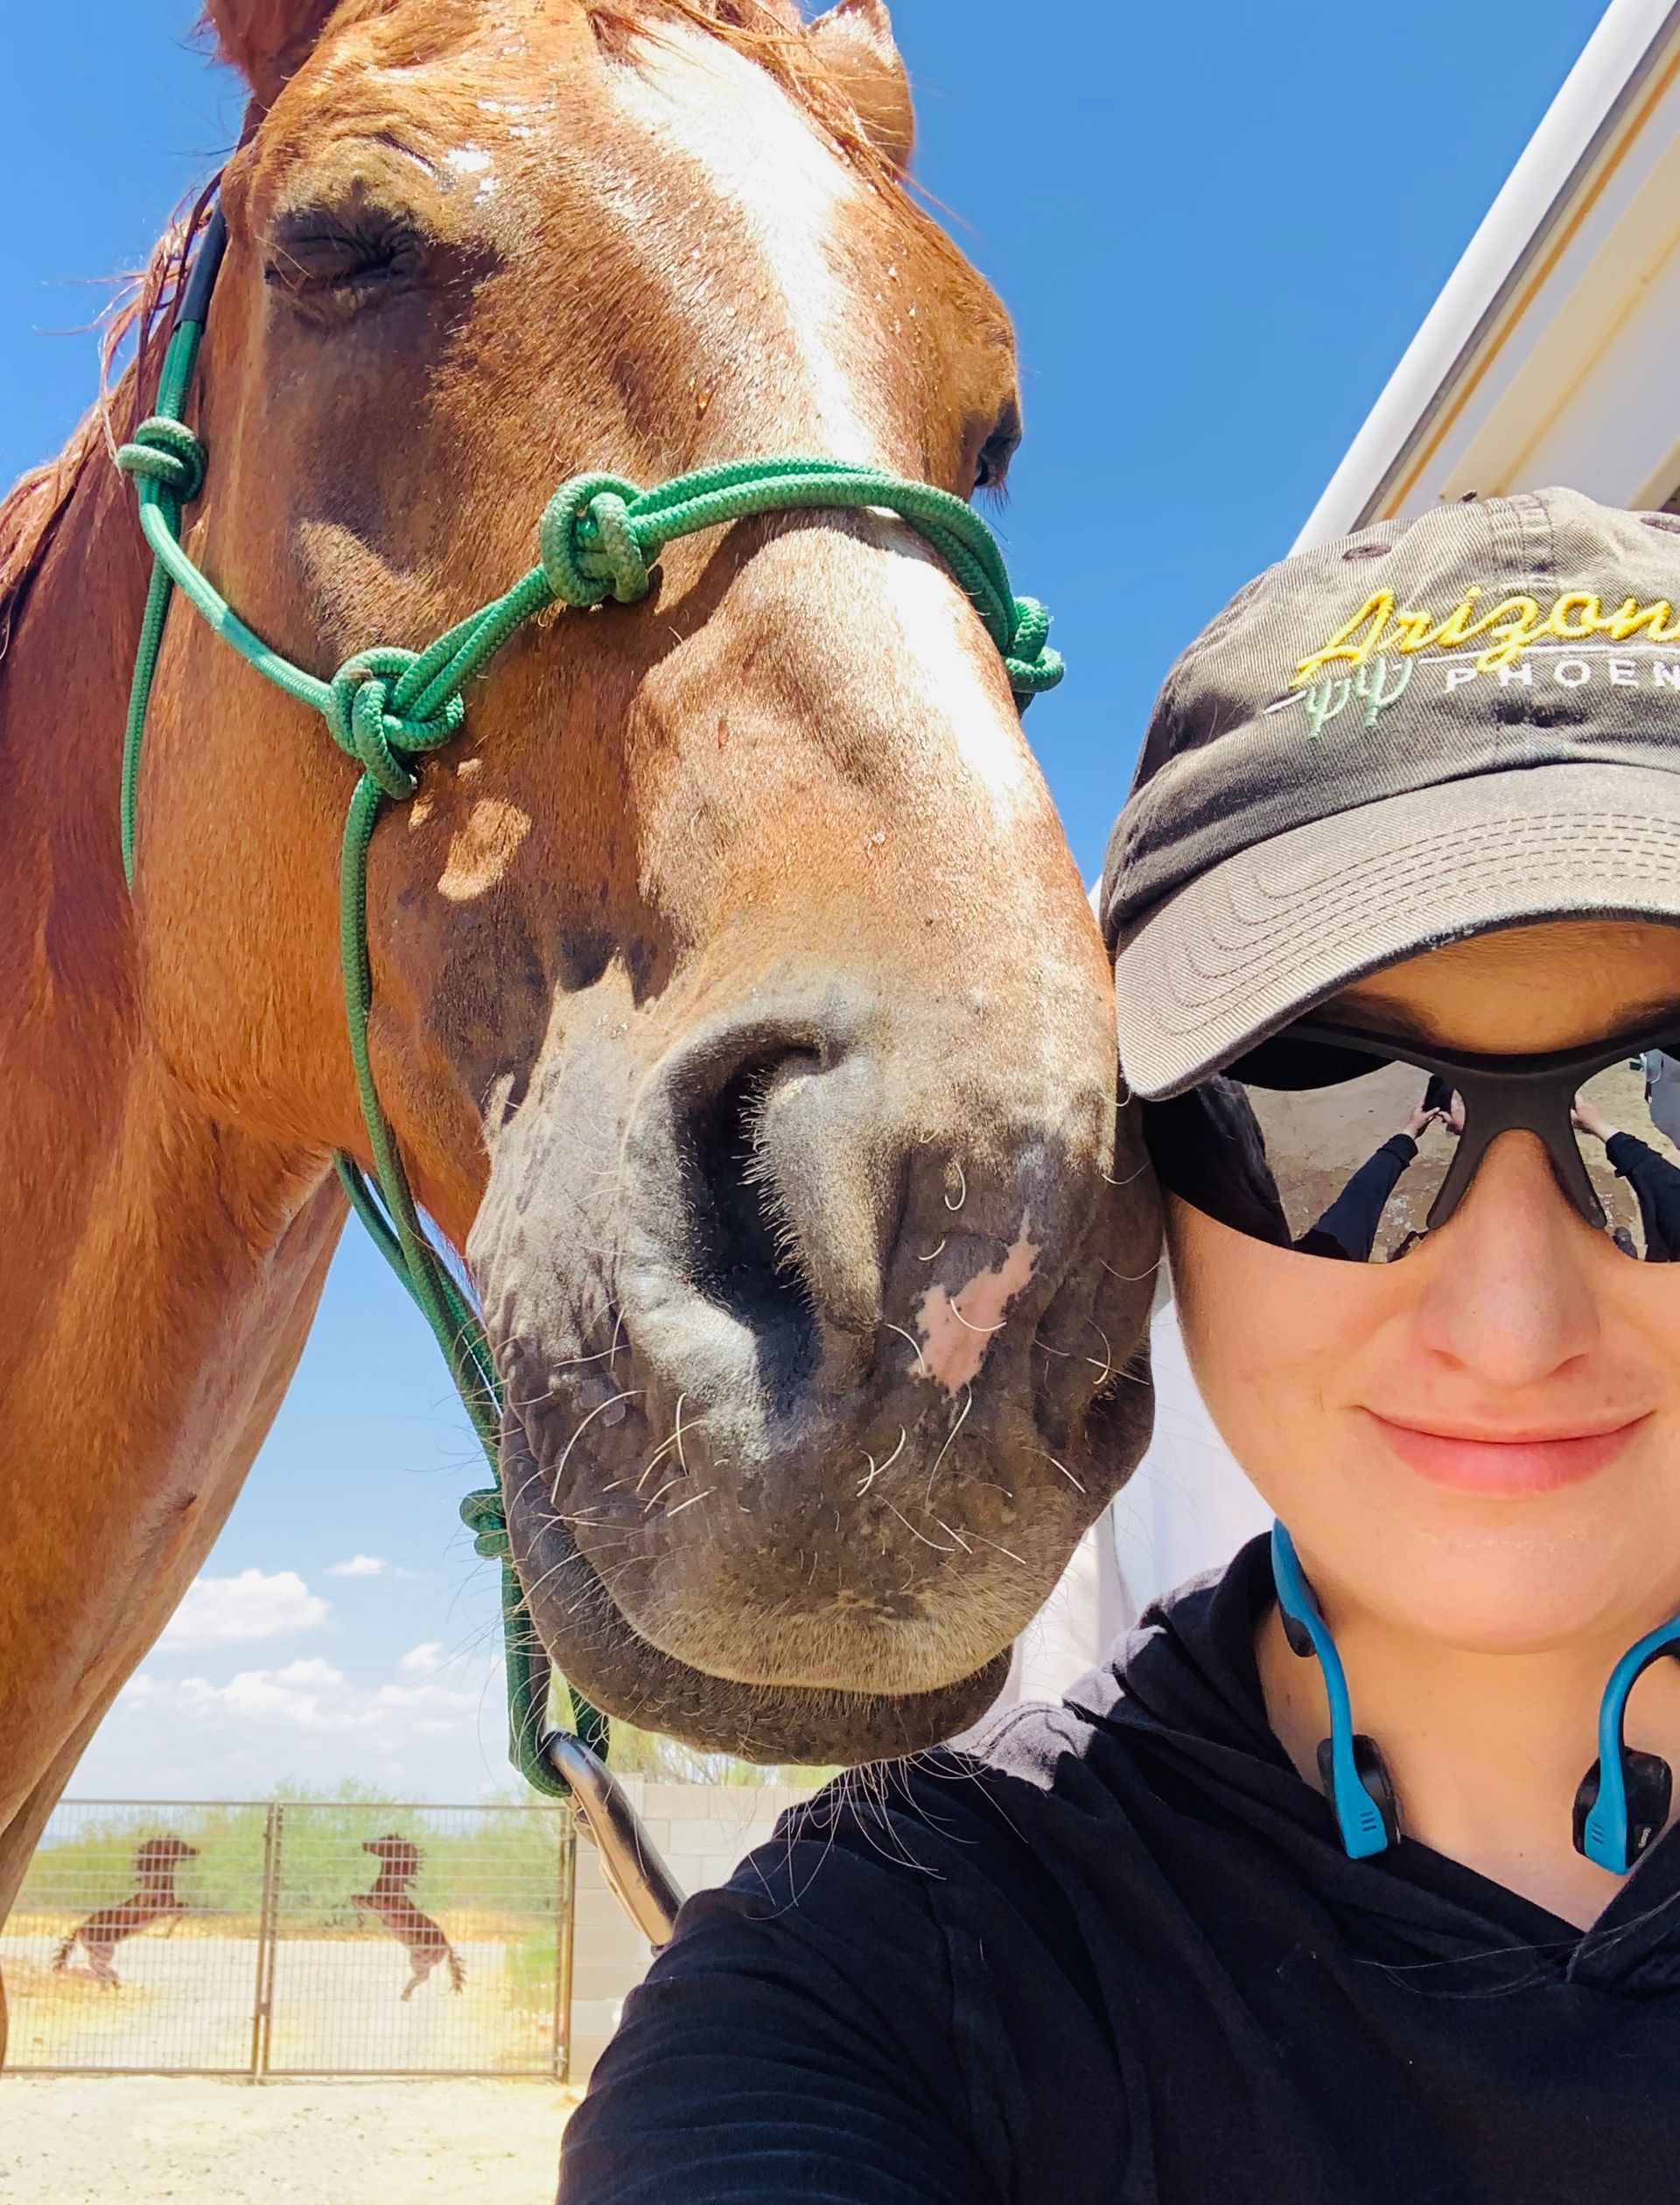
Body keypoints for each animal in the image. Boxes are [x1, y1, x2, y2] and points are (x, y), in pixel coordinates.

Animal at [49, 1835, 198, 1987]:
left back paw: (107, 1978)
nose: (196, 1851)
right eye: (180, 1845)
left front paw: (168, 1932)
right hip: (105, 1950)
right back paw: (110, 1976)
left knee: (95, 1965)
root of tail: (80, 1929)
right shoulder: (163, 1909)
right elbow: (184, 1908)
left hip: (98, 1950)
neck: (157, 1884)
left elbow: (186, 1907)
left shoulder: (169, 1907)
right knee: (94, 1964)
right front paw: (167, 1932)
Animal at [353, 1833, 466, 1999]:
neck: (392, 1883)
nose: (364, 1843)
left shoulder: (376, 1904)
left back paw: (405, 1994)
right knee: (423, 1976)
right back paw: (405, 1994)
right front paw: (360, 1920)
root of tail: (447, 1945)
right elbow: (355, 1898)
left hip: (419, 1961)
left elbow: (355, 1898)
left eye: (385, 1841)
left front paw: (360, 1921)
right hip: (416, 1959)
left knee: (424, 1976)